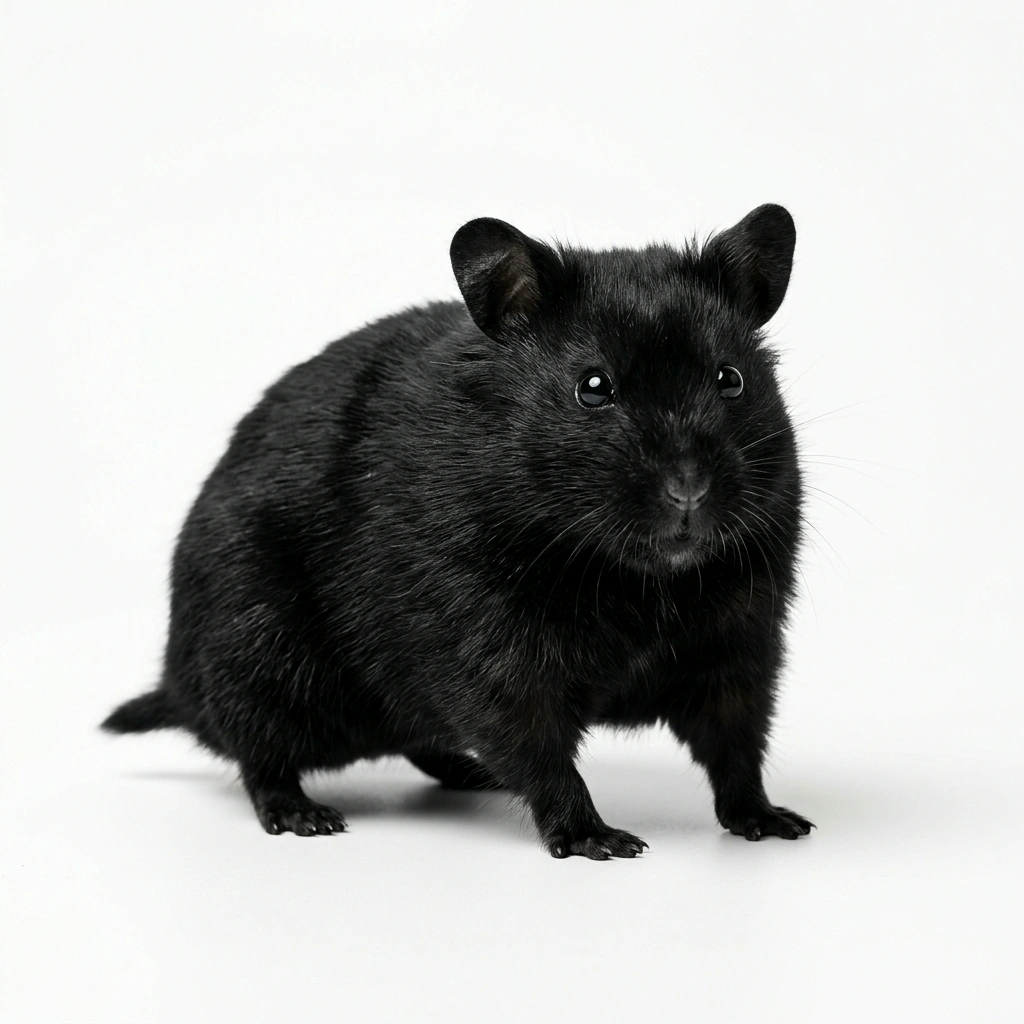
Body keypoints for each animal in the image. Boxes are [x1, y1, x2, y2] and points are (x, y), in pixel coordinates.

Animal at [102, 204, 813, 857]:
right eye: (593, 387)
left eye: (731, 378)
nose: (688, 490)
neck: (641, 576)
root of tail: (179, 687)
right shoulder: (487, 651)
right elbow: (540, 752)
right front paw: (602, 841)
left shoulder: (743, 643)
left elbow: (737, 746)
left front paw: (776, 824)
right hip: (258, 653)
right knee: (260, 758)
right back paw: (308, 817)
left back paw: (472, 775)